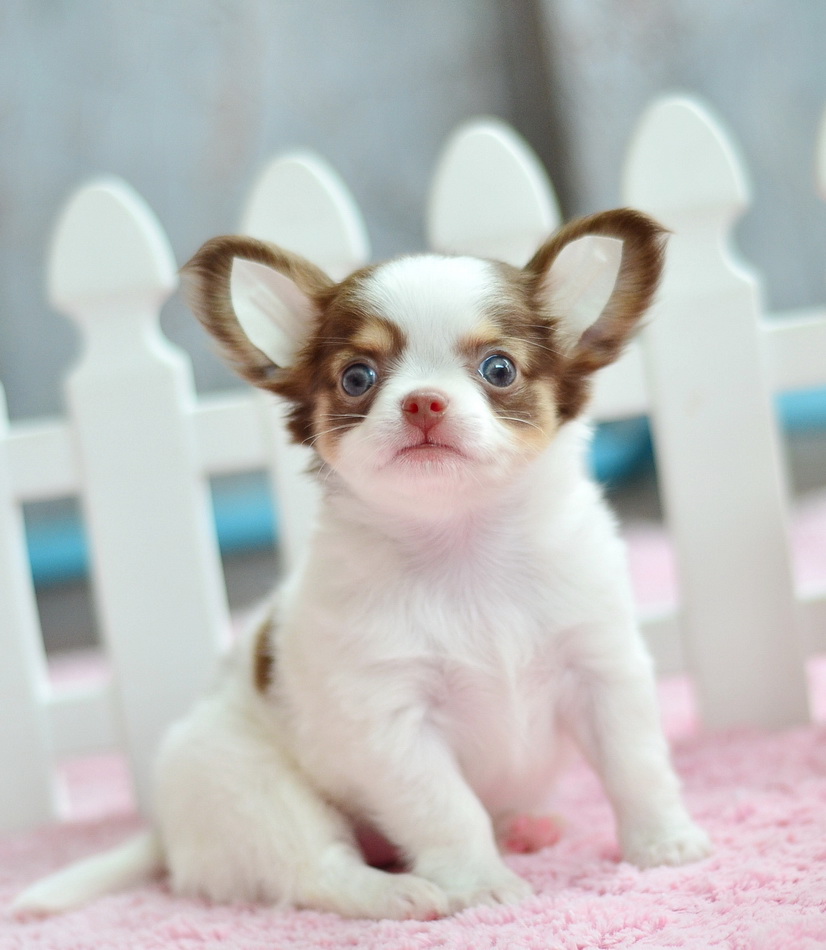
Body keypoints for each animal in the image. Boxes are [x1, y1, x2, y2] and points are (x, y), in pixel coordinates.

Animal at [14, 208, 710, 920]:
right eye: (357, 378)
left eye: (499, 369)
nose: (424, 401)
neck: (464, 550)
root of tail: (164, 833)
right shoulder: (392, 723)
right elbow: (448, 811)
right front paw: (479, 886)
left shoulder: (603, 671)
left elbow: (637, 767)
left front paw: (663, 844)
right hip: (255, 791)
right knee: (315, 872)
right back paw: (399, 892)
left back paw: (525, 826)